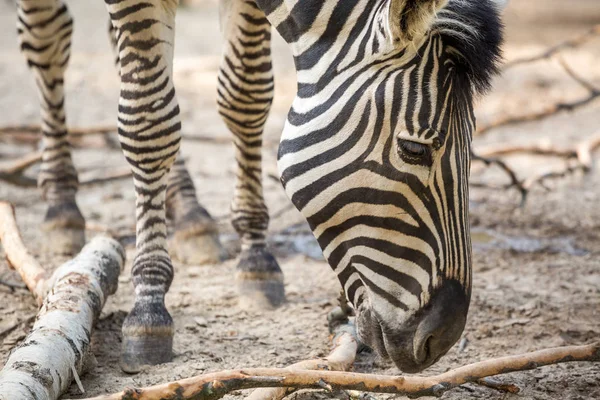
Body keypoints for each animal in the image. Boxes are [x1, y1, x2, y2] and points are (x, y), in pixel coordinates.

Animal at [14, 0, 504, 376]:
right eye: (413, 149)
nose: (443, 337)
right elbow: (149, 122)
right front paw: (149, 304)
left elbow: (244, 98)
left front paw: (256, 257)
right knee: (50, 38)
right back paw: (61, 206)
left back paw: (190, 215)